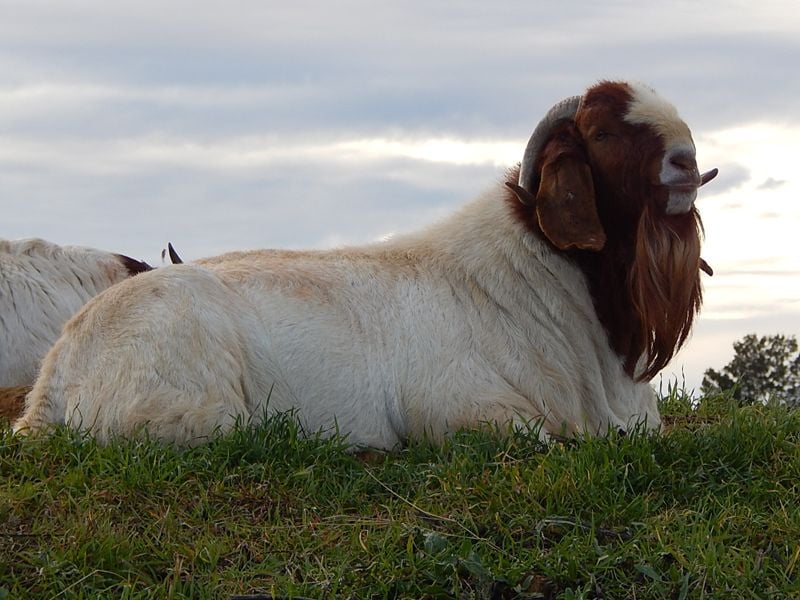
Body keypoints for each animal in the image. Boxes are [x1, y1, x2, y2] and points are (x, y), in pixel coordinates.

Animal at [14, 81, 717, 448]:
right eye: (602, 133)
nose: (685, 162)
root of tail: (55, 379)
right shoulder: (462, 412)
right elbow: (546, 439)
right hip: (190, 410)